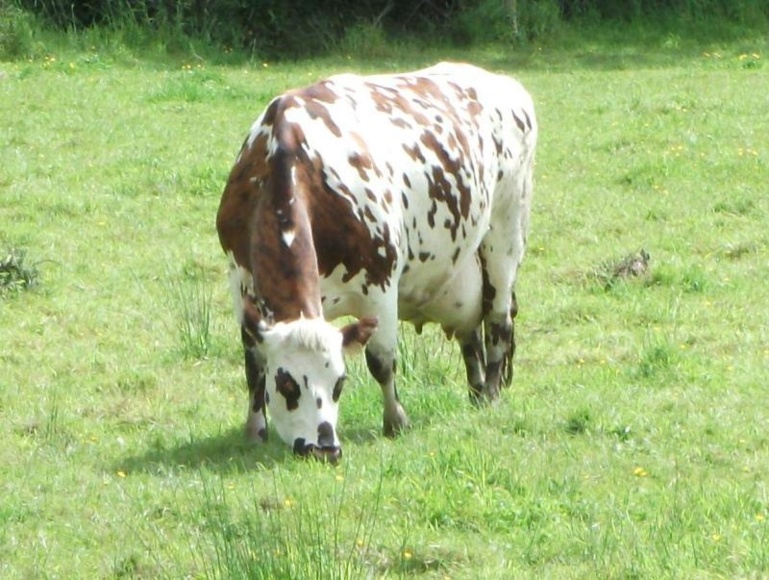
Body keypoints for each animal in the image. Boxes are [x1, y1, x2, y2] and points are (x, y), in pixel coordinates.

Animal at [216, 62, 536, 462]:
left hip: (506, 231)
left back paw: (490, 394)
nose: (325, 449)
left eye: (339, 383)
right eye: (287, 384)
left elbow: (382, 360)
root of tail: (501, 82)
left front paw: (395, 420)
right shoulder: (240, 280)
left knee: (497, 319)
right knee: (470, 334)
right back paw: (476, 391)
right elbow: (253, 363)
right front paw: (255, 430)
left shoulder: (382, 283)